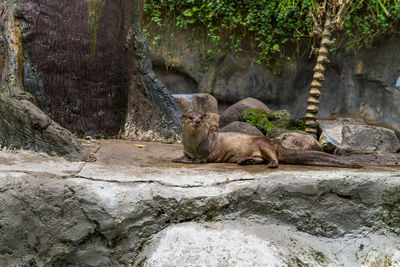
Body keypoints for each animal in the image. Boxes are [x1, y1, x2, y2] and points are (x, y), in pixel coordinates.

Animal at [173, 112, 362, 169]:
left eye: (201, 117)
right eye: (190, 116)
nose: (197, 121)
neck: (193, 144)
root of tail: (276, 144)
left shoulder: (204, 152)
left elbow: (197, 160)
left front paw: (182, 160)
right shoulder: (187, 149)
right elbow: (185, 155)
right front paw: (178, 157)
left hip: (263, 144)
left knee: (273, 157)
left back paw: (270, 164)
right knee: (259, 159)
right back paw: (246, 161)